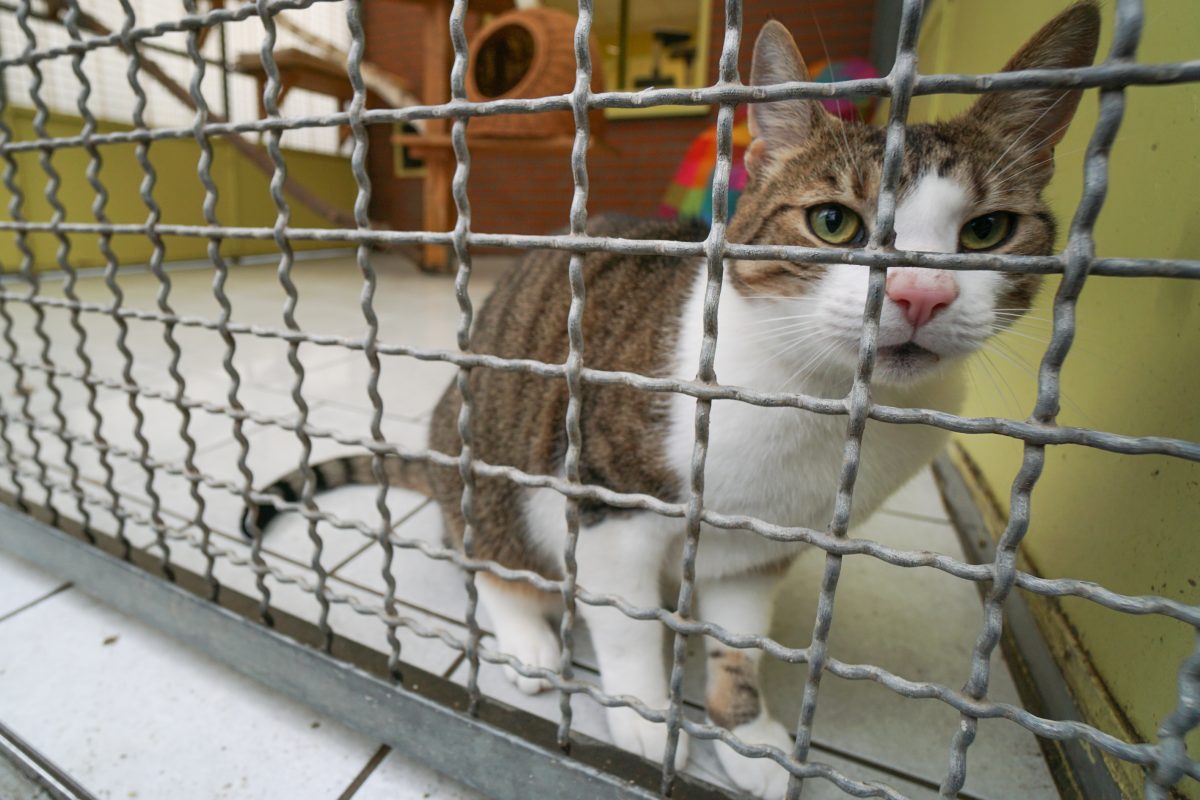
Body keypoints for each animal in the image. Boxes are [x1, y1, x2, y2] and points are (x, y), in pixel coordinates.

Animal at [243, 4, 1099, 796]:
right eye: (834, 223)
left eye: (987, 232)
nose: (923, 294)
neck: (822, 406)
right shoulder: (606, 501)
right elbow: (625, 629)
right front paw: (648, 720)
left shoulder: (762, 550)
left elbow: (741, 643)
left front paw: (745, 732)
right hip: (487, 459)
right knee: (487, 552)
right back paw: (527, 634)